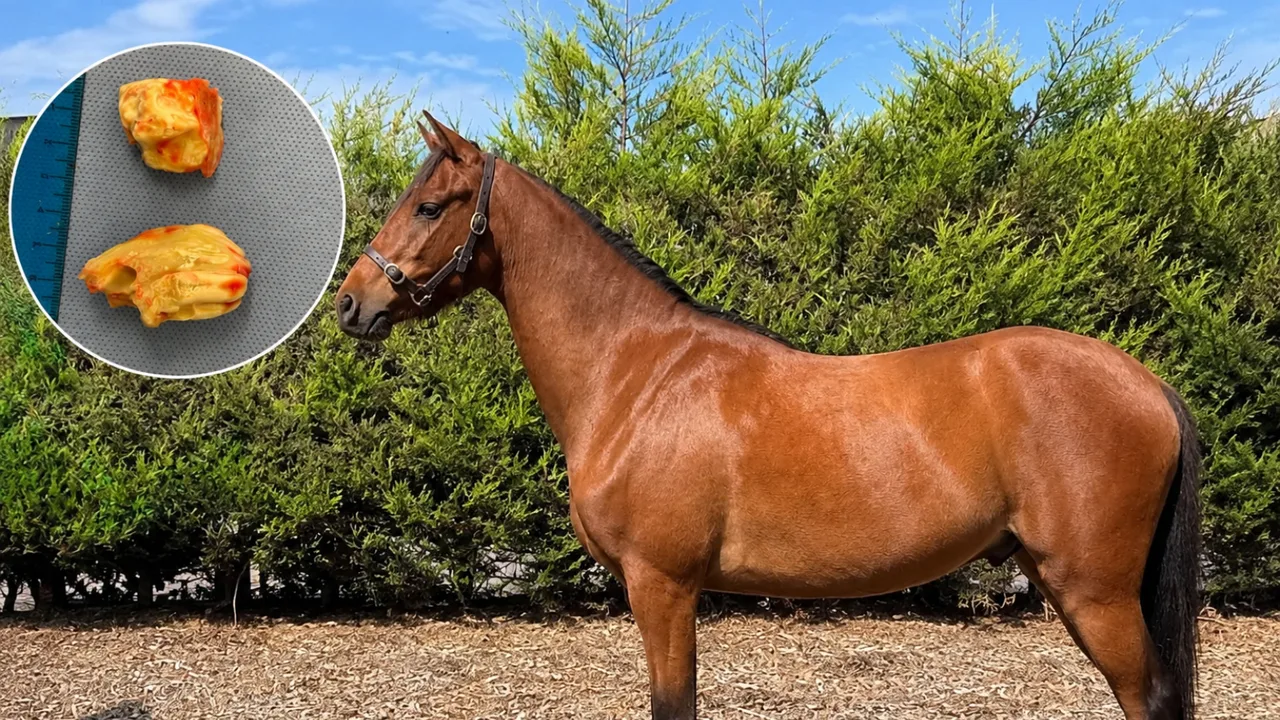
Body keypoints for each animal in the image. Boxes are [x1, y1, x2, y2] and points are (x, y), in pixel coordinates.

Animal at [335, 111, 1202, 720]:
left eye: (430, 207)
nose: (351, 303)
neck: (637, 371)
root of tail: (1147, 383)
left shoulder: (662, 586)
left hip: (1094, 593)